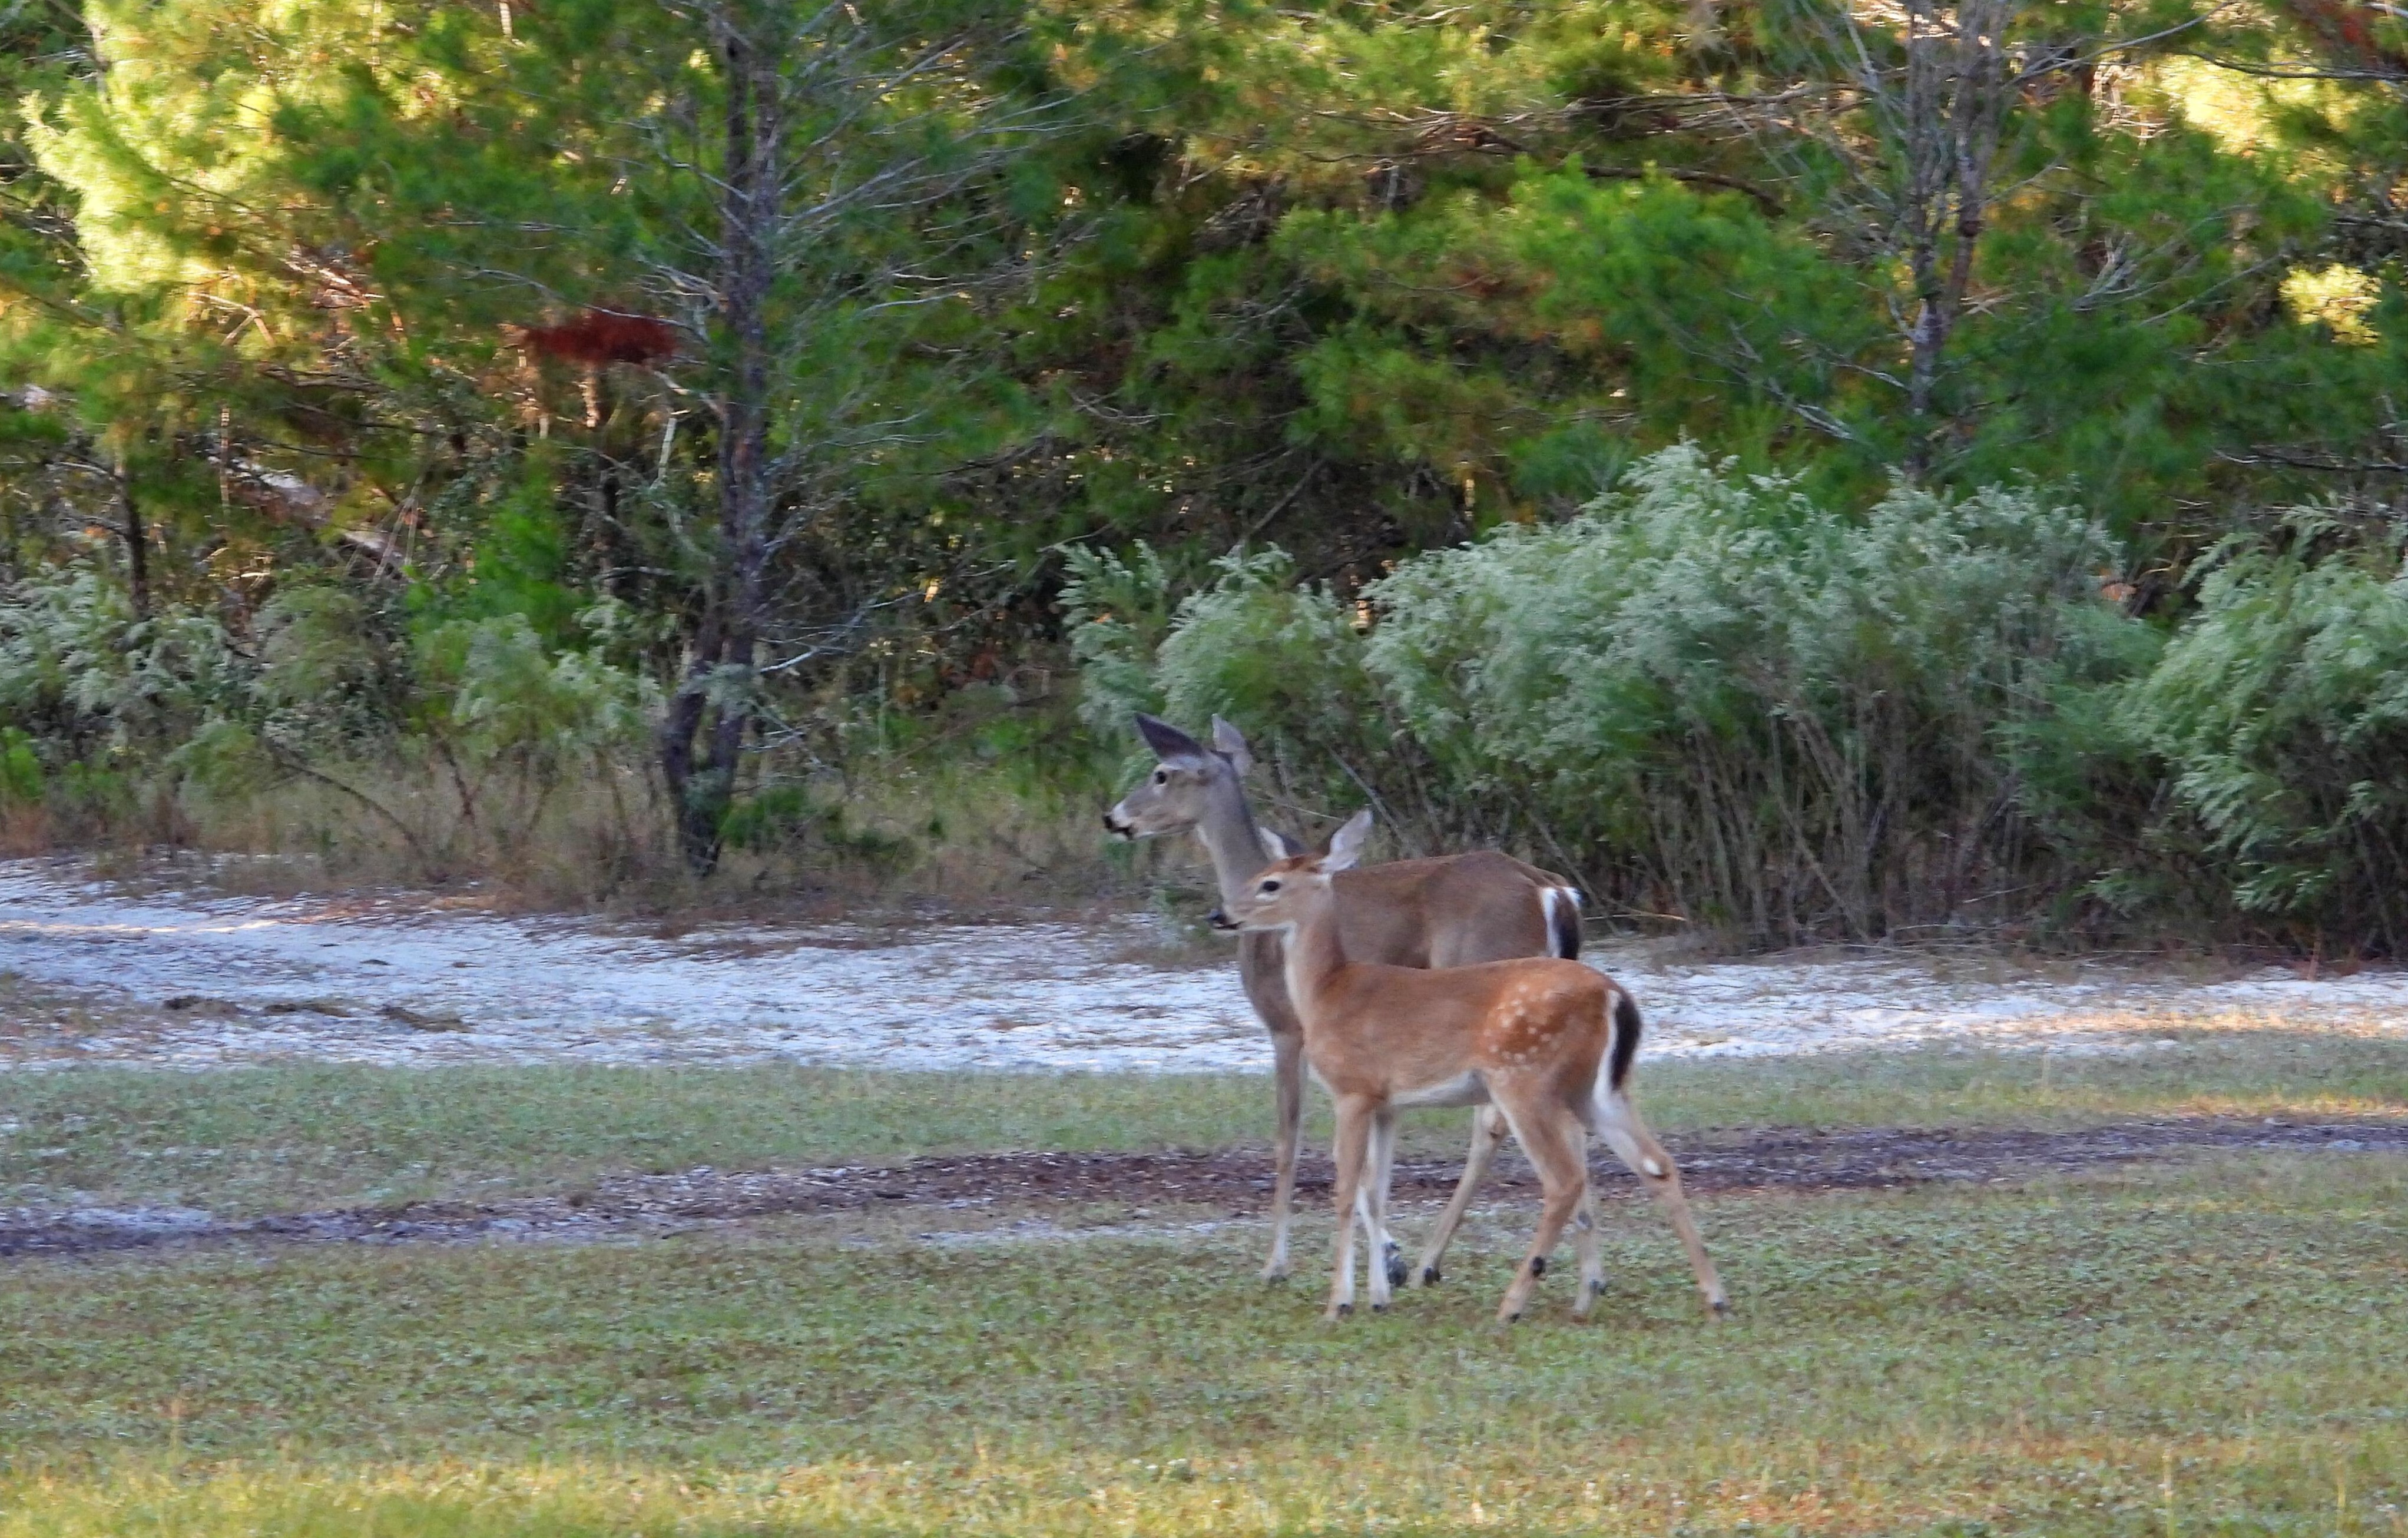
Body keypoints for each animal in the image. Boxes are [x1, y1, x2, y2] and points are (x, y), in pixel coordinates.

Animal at [1104, 712, 1583, 1288]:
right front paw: (1387, 1257)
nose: (1113, 817)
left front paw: (1278, 1264)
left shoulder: (1286, 1026)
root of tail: (1551, 890)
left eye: (1161, 774)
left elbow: (1290, 1140)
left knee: (1492, 1122)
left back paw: (1431, 1261)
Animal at [1222, 809, 1729, 1322]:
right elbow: (1376, 1192)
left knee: (1563, 1179)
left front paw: (1339, 1304)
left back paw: (1512, 1304)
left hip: (1525, 1078)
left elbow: (1345, 1190)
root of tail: (1616, 997)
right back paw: (1704, 1297)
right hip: (1597, 1089)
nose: (1220, 915)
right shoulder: (1388, 1103)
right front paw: (1379, 1296)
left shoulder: (1353, 1089)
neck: (1326, 991)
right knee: (1655, 1164)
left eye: (1269, 884)